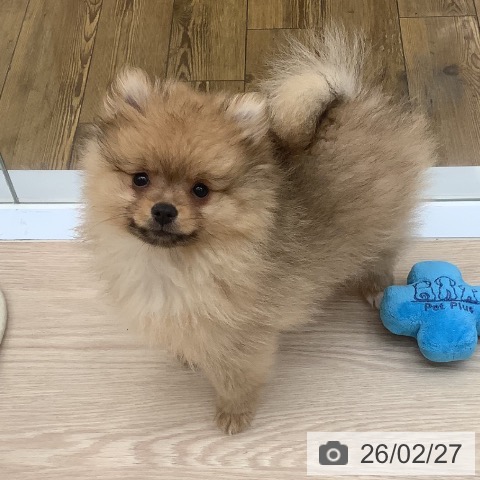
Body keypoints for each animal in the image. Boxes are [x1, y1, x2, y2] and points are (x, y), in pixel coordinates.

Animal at [81, 28, 436, 434]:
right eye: (140, 179)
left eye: (200, 190)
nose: (164, 210)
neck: (177, 261)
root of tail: (349, 101)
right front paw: (188, 355)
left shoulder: (243, 337)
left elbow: (237, 379)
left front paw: (234, 414)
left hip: (378, 222)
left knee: (382, 252)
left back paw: (376, 288)